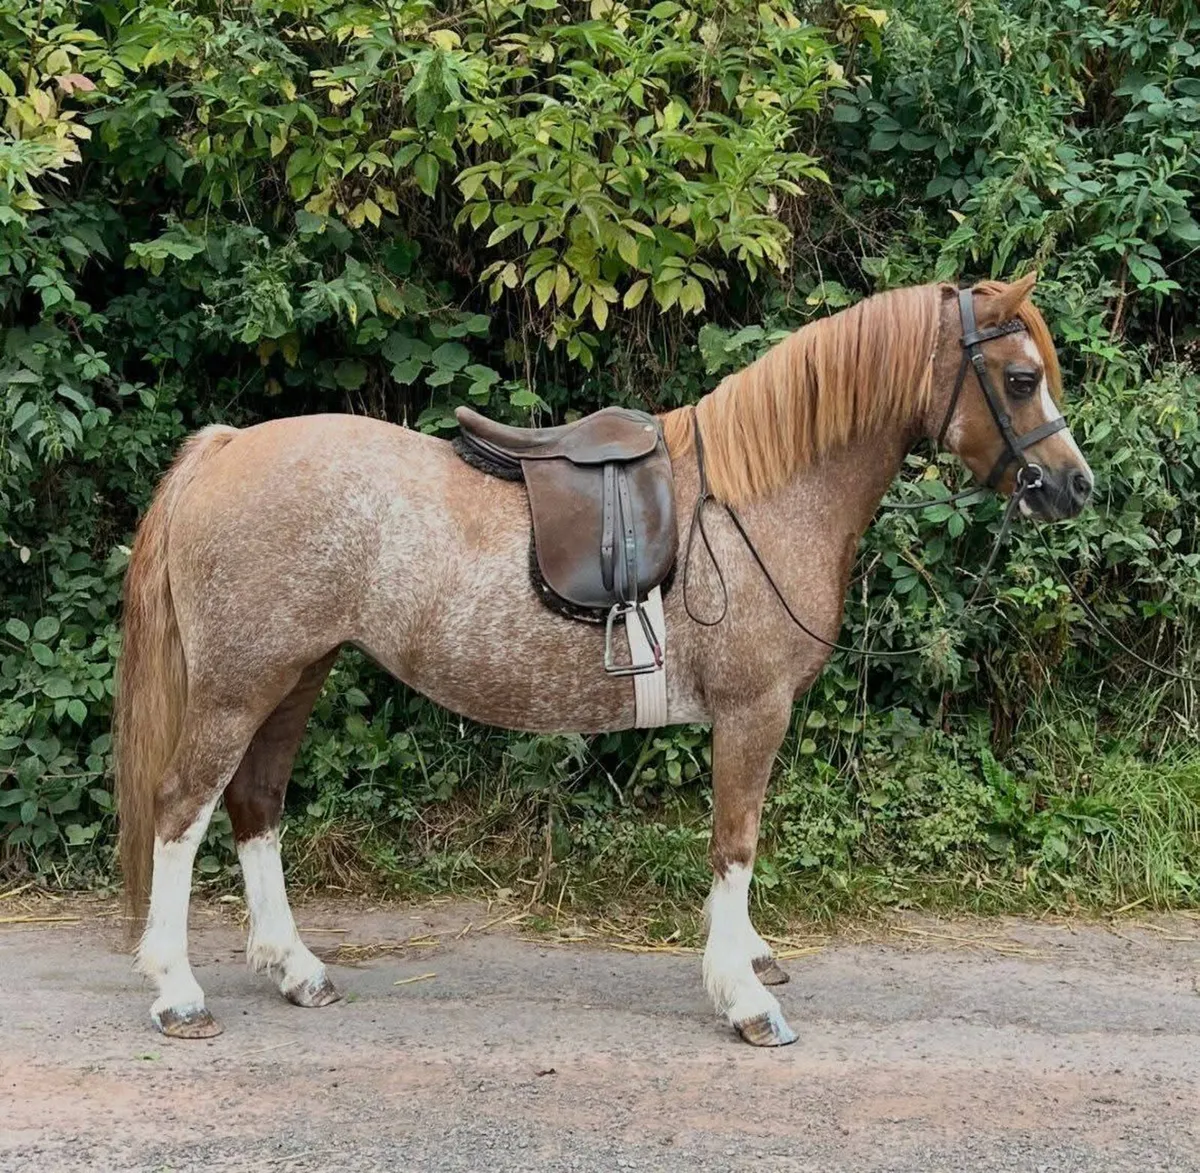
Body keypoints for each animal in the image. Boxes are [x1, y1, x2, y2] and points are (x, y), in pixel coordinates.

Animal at [114, 273, 1092, 1047]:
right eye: (1021, 379)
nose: (1074, 485)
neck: (760, 494)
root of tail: (225, 447)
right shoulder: (753, 712)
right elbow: (735, 843)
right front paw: (742, 997)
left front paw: (748, 955)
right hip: (239, 685)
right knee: (181, 810)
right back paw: (177, 991)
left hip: (295, 675)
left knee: (256, 806)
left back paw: (295, 968)